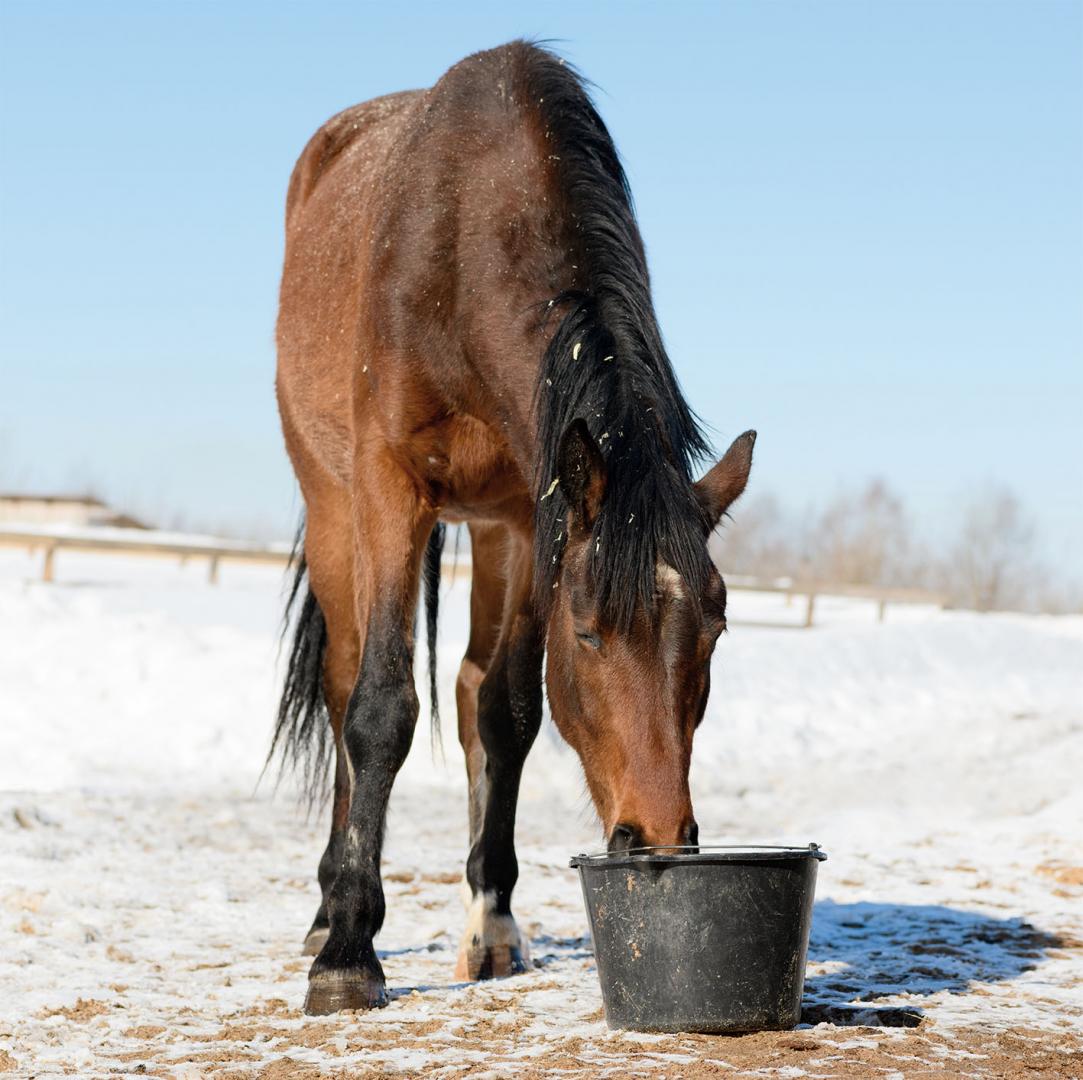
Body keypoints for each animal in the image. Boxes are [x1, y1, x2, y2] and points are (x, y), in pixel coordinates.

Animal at [275, 42, 758, 1013]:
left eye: (716, 630)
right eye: (590, 631)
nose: (656, 839)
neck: (466, 246)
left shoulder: (534, 519)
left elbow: (507, 713)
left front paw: (492, 925)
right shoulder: (389, 489)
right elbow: (381, 708)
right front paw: (347, 955)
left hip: (492, 531)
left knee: (469, 692)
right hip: (333, 500)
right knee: (346, 687)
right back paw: (325, 912)